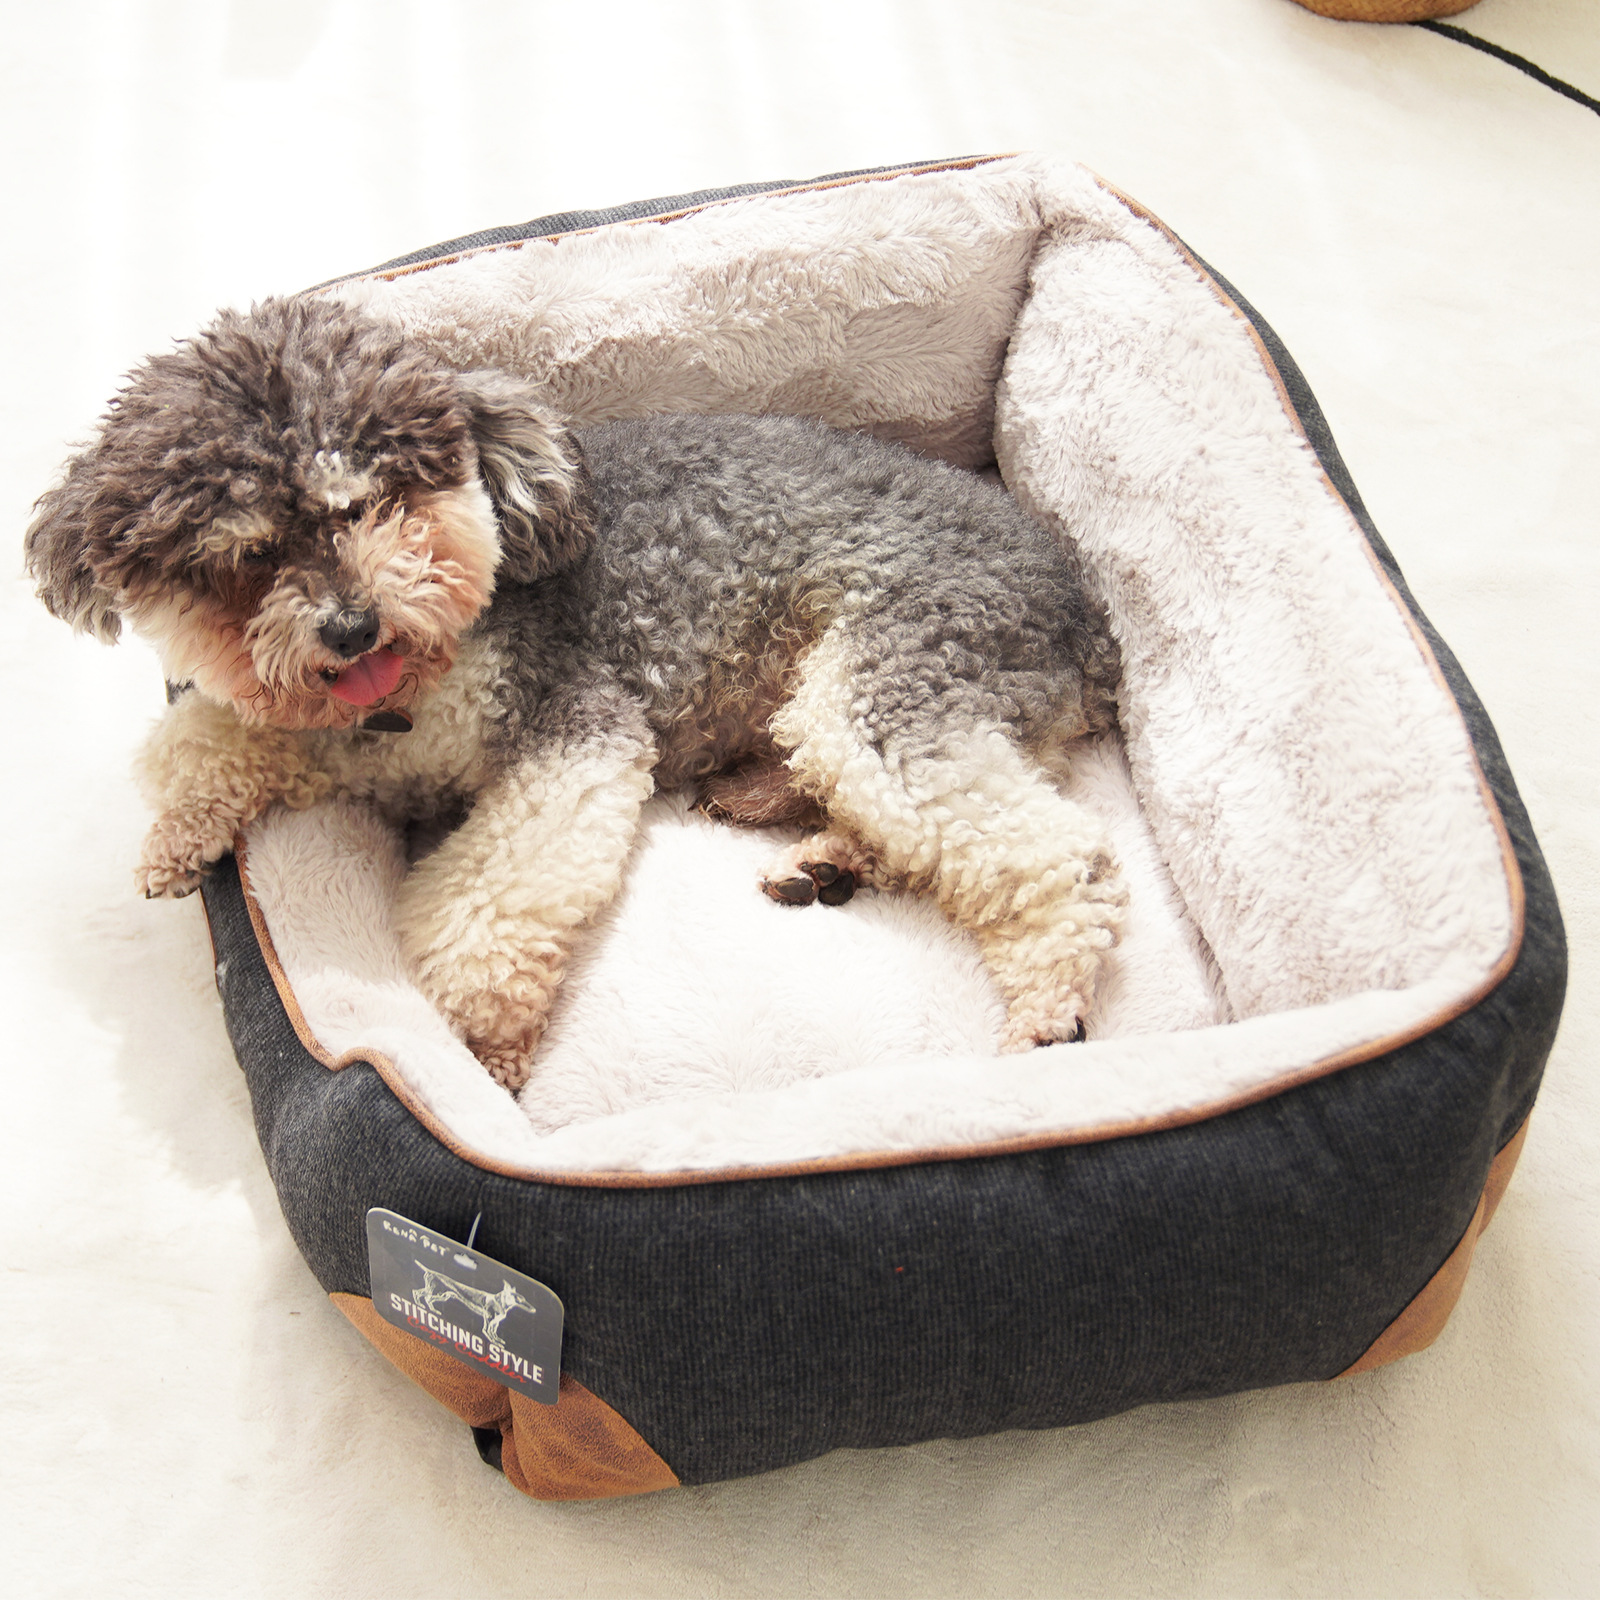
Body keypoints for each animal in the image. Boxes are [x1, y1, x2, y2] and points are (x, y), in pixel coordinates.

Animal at [25, 295, 1126, 1089]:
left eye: (377, 503)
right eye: (247, 556)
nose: (350, 626)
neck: (415, 684)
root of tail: (1079, 599)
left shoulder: (574, 728)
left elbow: (490, 899)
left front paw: (481, 1047)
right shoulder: (329, 729)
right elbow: (205, 741)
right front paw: (177, 839)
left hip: (894, 678)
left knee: (1056, 853)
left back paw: (1044, 1014)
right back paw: (802, 839)